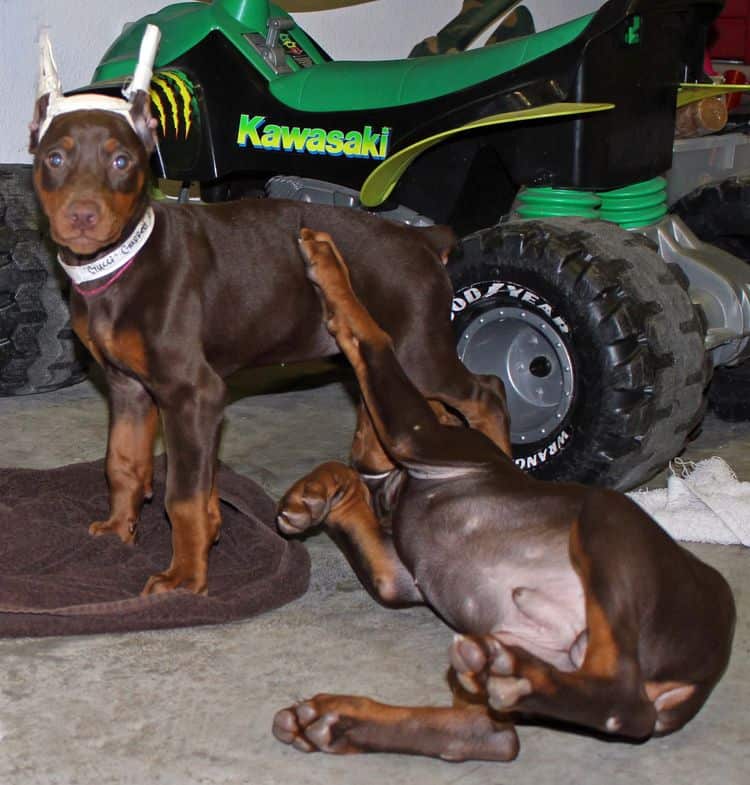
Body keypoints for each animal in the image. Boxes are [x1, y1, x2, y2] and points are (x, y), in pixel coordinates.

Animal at [30, 29, 512, 596]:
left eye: (122, 162)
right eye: (54, 159)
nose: (83, 216)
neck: (122, 263)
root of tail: (422, 240)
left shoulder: (192, 393)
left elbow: (183, 494)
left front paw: (186, 577)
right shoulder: (128, 387)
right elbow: (123, 463)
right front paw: (117, 532)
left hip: (417, 347)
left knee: (485, 392)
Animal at [274, 231, 736, 760]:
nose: (360, 449)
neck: (403, 480)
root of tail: (700, 679)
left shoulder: (417, 437)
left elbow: (370, 337)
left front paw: (328, 265)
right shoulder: (398, 574)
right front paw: (313, 494)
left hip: (607, 520)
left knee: (623, 700)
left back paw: (513, 679)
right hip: (504, 636)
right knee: (491, 734)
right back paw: (340, 719)